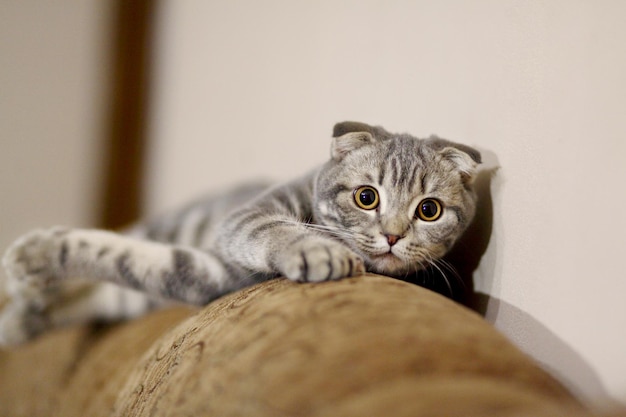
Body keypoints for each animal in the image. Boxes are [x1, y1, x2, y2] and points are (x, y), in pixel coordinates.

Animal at [0, 120, 482, 344]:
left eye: (429, 210)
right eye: (367, 197)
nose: (394, 236)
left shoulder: (210, 275)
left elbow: (126, 259)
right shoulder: (246, 217)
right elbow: (276, 229)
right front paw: (319, 251)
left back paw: (25, 313)